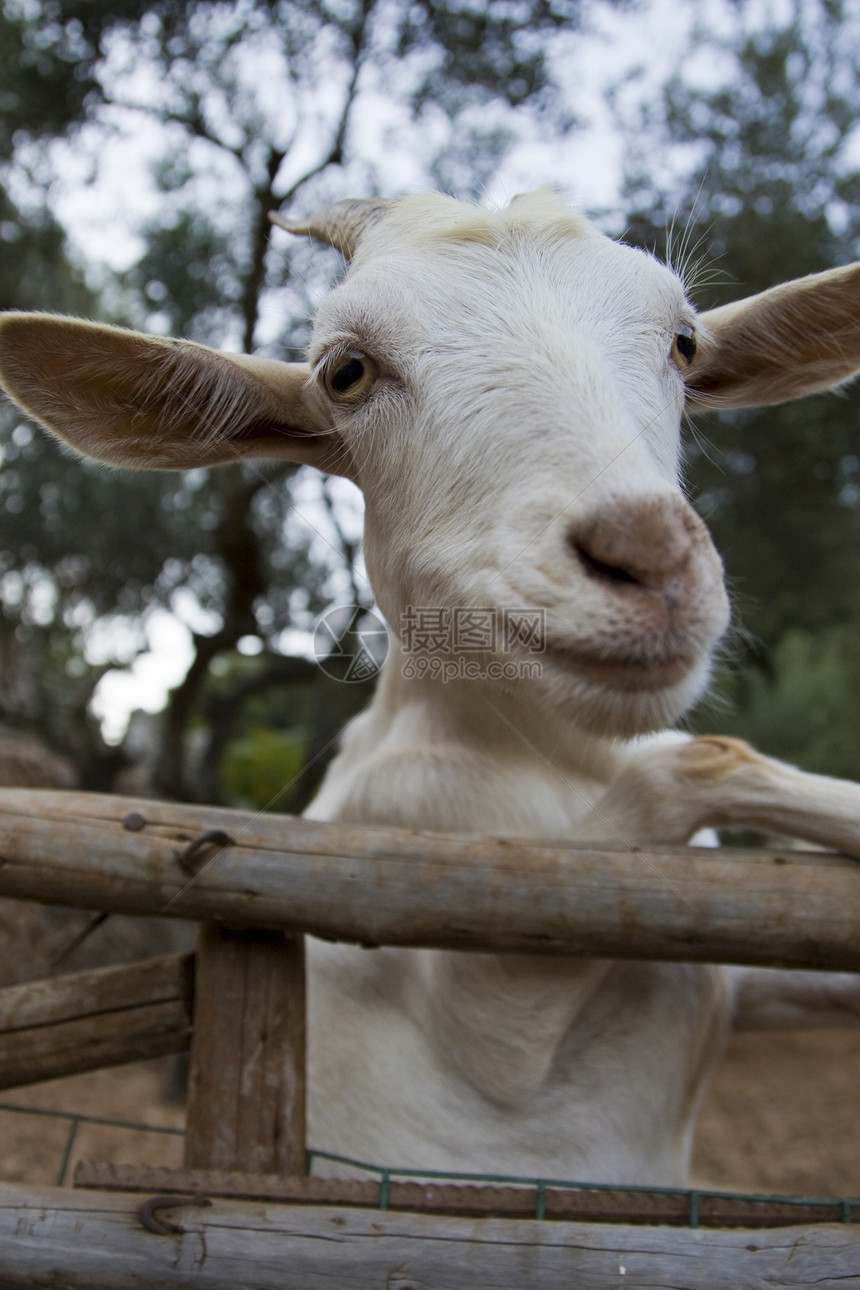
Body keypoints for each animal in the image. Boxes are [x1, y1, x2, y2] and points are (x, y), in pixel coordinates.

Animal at [1, 187, 860, 1181]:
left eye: (685, 342)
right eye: (346, 372)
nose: (649, 563)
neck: (549, 765)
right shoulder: (480, 963)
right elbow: (699, 758)